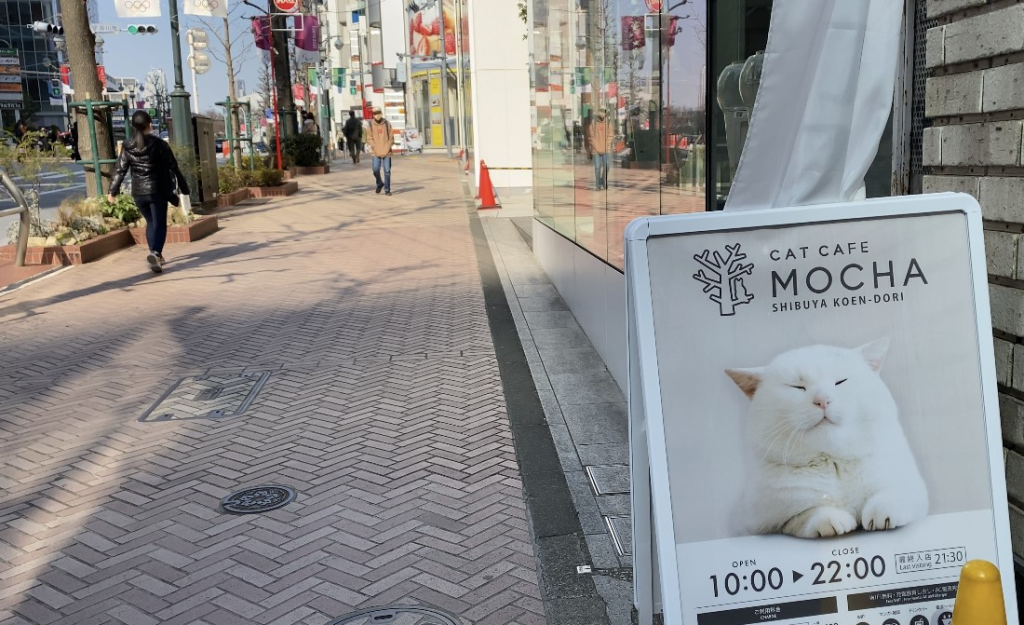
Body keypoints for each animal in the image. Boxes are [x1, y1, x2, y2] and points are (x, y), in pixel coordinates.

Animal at [729, 338, 929, 536]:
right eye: (798, 387)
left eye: (840, 381)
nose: (822, 400)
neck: (834, 463)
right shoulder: (760, 522)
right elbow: (806, 515)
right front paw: (832, 520)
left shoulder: (914, 488)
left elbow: (892, 495)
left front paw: (882, 514)